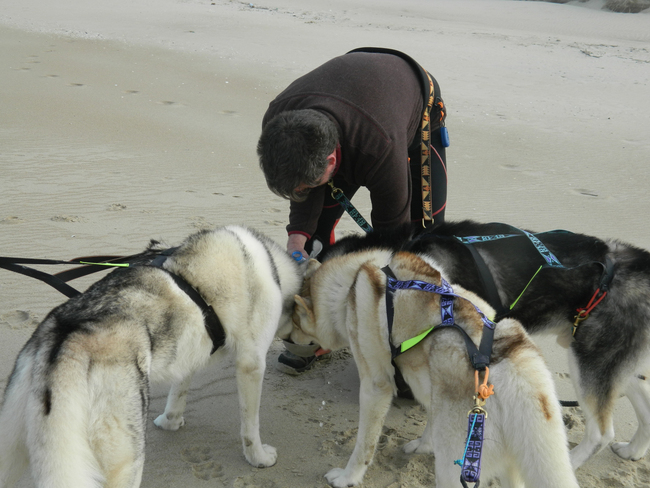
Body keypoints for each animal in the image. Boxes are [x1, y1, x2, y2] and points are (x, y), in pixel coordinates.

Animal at [290, 252, 576, 488]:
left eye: (294, 321)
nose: (287, 339)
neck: (351, 279)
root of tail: (513, 360)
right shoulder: (426, 380)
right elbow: (429, 415)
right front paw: (423, 445)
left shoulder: (375, 386)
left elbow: (364, 445)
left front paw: (347, 477)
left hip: (454, 470)